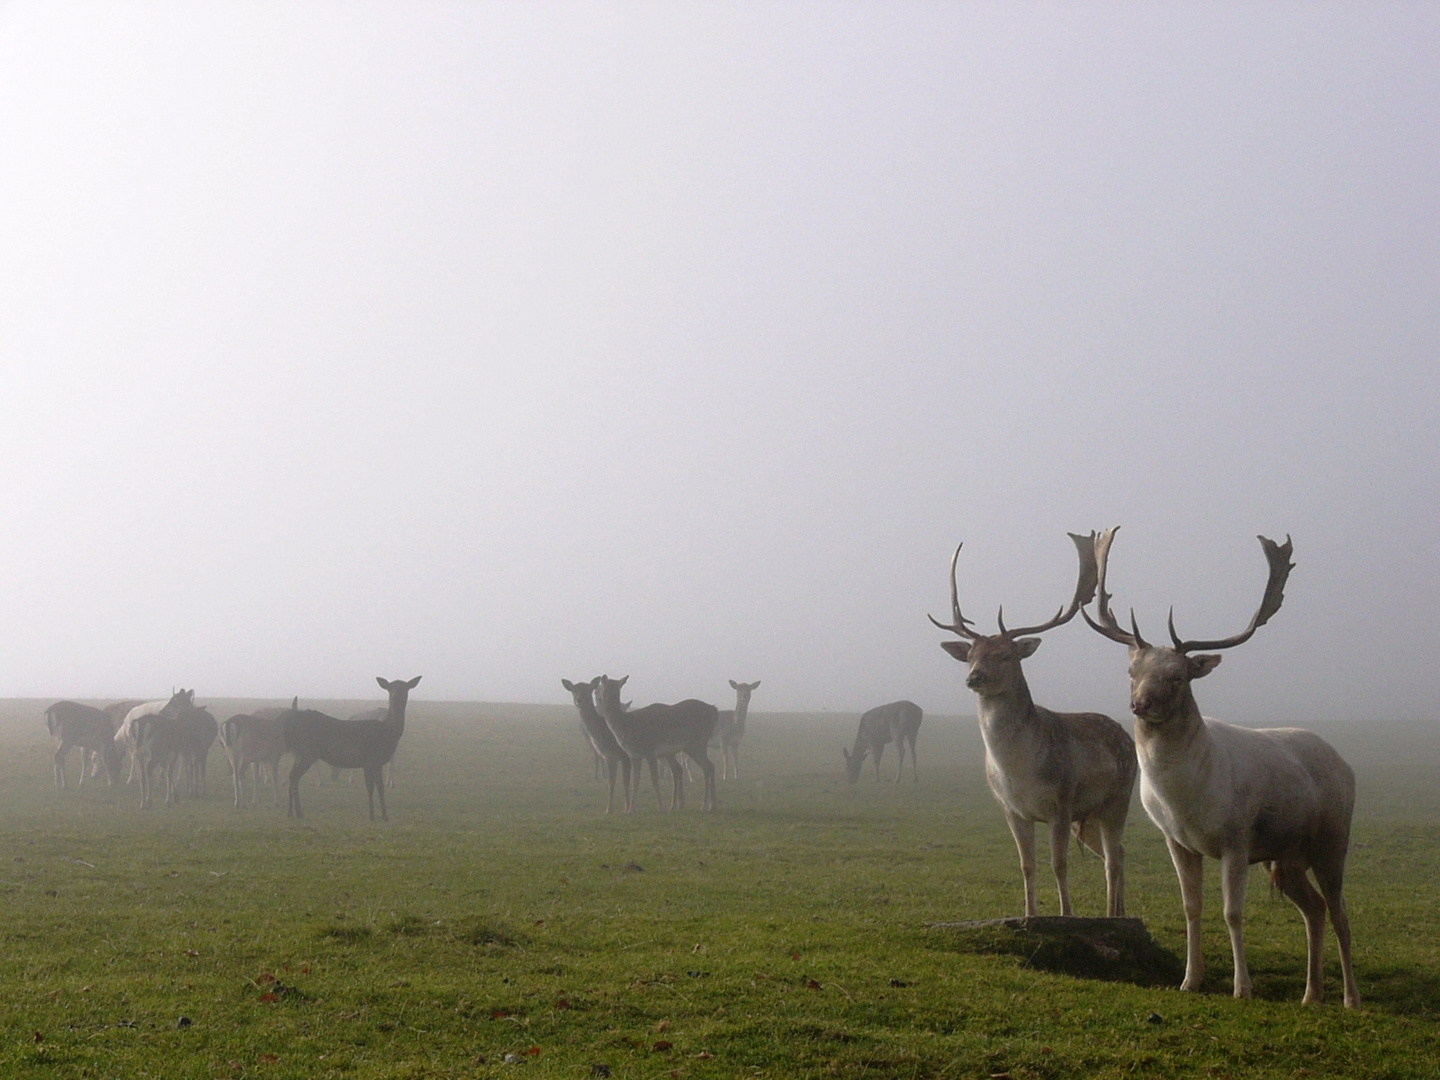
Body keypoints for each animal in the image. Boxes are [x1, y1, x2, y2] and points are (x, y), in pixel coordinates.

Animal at [280, 676, 417, 817]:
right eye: (390, 688)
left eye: (405, 688)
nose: (396, 696)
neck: (387, 732)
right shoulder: (371, 759)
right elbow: (374, 788)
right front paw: (378, 815)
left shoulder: (372, 762)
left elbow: (376, 787)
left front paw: (378, 815)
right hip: (307, 752)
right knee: (294, 776)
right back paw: (298, 812)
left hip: (301, 752)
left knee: (292, 776)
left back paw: (291, 812)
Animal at [558, 676, 633, 812]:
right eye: (573, 690)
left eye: (589, 690)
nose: (579, 700)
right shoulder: (610, 757)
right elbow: (611, 782)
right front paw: (608, 809)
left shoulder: (625, 755)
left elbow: (625, 781)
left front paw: (627, 808)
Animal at [593, 676, 717, 812]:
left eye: (602, 687)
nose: (600, 699)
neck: (628, 726)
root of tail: (714, 711)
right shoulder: (634, 755)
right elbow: (635, 780)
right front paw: (630, 809)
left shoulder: (650, 750)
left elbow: (654, 779)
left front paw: (660, 807)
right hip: (686, 748)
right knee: (706, 766)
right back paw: (708, 804)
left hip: (697, 742)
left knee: (708, 766)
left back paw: (705, 805)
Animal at [927, 538, 1140, 915]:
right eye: (970, 656)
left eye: (1006, 655)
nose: (973, 678)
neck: (1018, 771)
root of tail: (1124, 733)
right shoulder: (1012, 810)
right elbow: (1027, 865)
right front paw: (1028, 914)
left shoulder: (1062, 802)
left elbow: (1059, 864)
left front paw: (1066, 914)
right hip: (1089, 816)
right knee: (1117, 854)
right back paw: (1117, 912)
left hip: (1118, 797)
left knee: (1115, 857)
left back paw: (1113, 914)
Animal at [1082, 529, 1359, 1013]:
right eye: (1132, 670)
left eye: (1178, 676)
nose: (1140, 704)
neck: (1186, 801)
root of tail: (1347, 767)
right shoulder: (1177, 841)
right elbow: (1191, 907)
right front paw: (1189, 981)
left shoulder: (1237, 837)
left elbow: (1232, 912)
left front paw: (1241, 987)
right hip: (1286, 856)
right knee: (1315, 909)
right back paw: (1310, 995)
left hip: (1332, 838)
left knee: (1340, 910)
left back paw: (1349, 998)